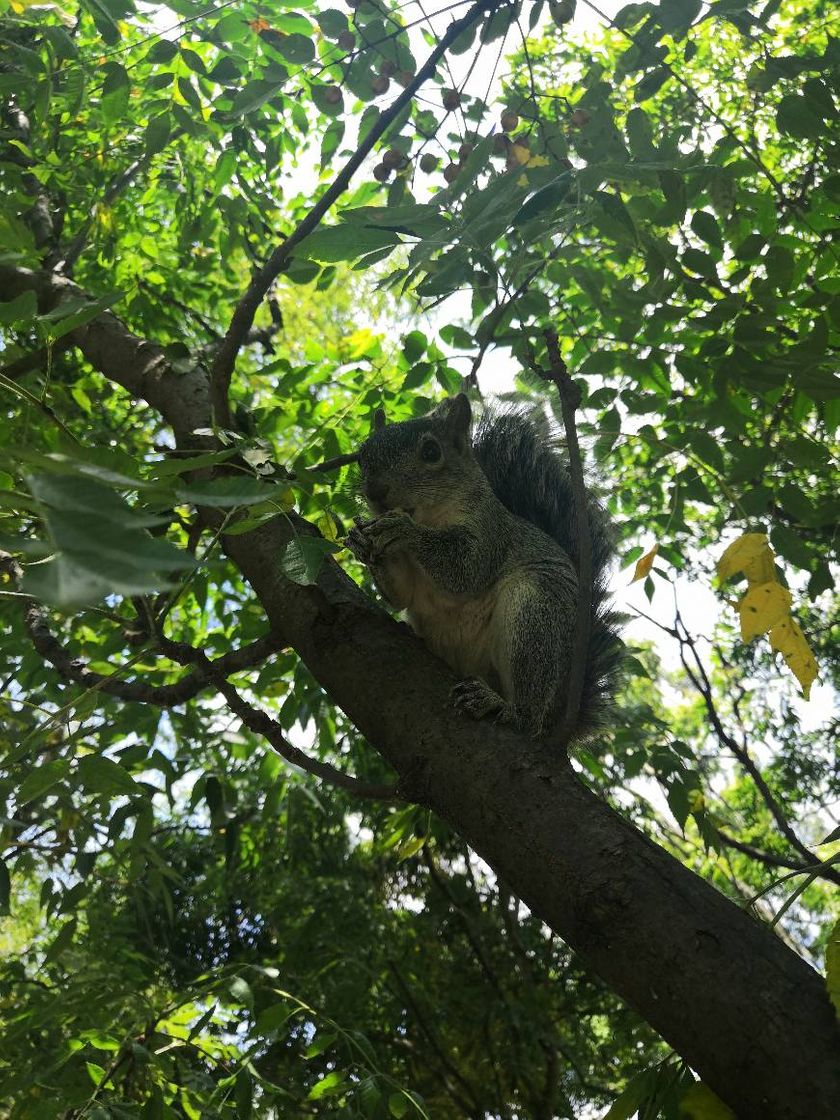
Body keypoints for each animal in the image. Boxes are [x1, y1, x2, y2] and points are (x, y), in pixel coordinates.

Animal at [342, 394, 627, 743]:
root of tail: (560, 715)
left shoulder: (491, 534)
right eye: (361, 456)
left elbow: (466, 571)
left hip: (535, 613)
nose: (375, 491)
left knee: (530, 710)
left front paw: (404, 529)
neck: (430, 516)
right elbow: (401, 595)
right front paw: (360, 541)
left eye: (431, 452)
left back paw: (505, 707)